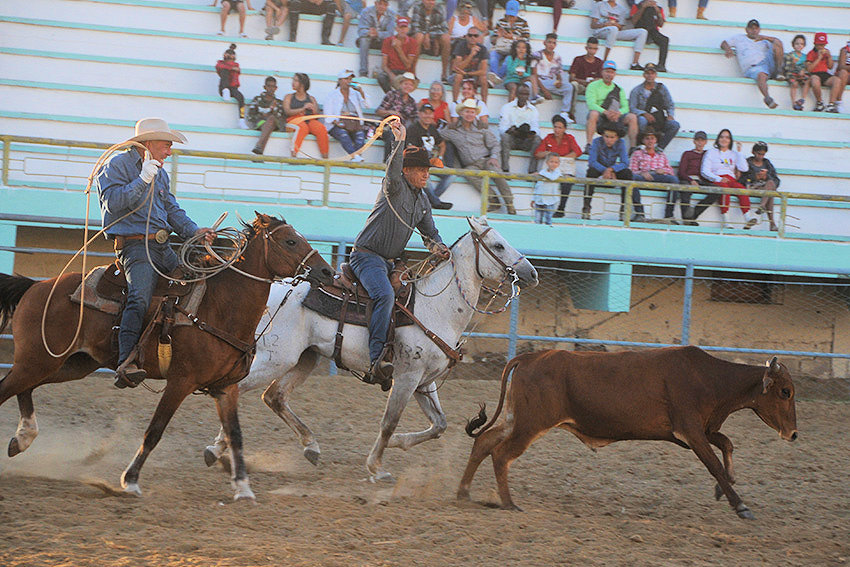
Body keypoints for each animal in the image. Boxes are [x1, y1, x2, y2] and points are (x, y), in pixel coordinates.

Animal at [0, 213, 335, 500]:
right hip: (40, 361)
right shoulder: (180, 382)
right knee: (9, 387)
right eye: (290, 241)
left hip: (68, 364)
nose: (327, 271)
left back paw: (22, 438)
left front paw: (242, 488)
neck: (219, 307)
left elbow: (236, 435)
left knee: (24, 388)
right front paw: (130, 481)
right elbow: (155, 431)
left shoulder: (225, 387)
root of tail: (36, 286)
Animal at [203, 216, 538, 481]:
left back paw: (309, 447)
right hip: (277, 358)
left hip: (305, 358)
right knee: (236, 389)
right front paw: (376, 467)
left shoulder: (425, 382)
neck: (436, 307)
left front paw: (399, 443)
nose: (532, 273)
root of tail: (274, 289)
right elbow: (389, 422)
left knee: (274, 396)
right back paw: (217, 450)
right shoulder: (406, 377)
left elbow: (439, 425)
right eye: (498, 246)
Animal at [457, 346, 798, 519]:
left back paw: (464, 492)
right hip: (531, 424)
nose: (793, 434)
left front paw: (723, 486)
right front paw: (740, 505)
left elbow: (727, 445)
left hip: (517, 419)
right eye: (785, 392)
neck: (711, 378)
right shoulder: (690, 431)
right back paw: (508, 503)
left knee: (484, 442)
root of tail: (530, 356)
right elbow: (714, 462)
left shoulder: (703, 430)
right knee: (502, 454)